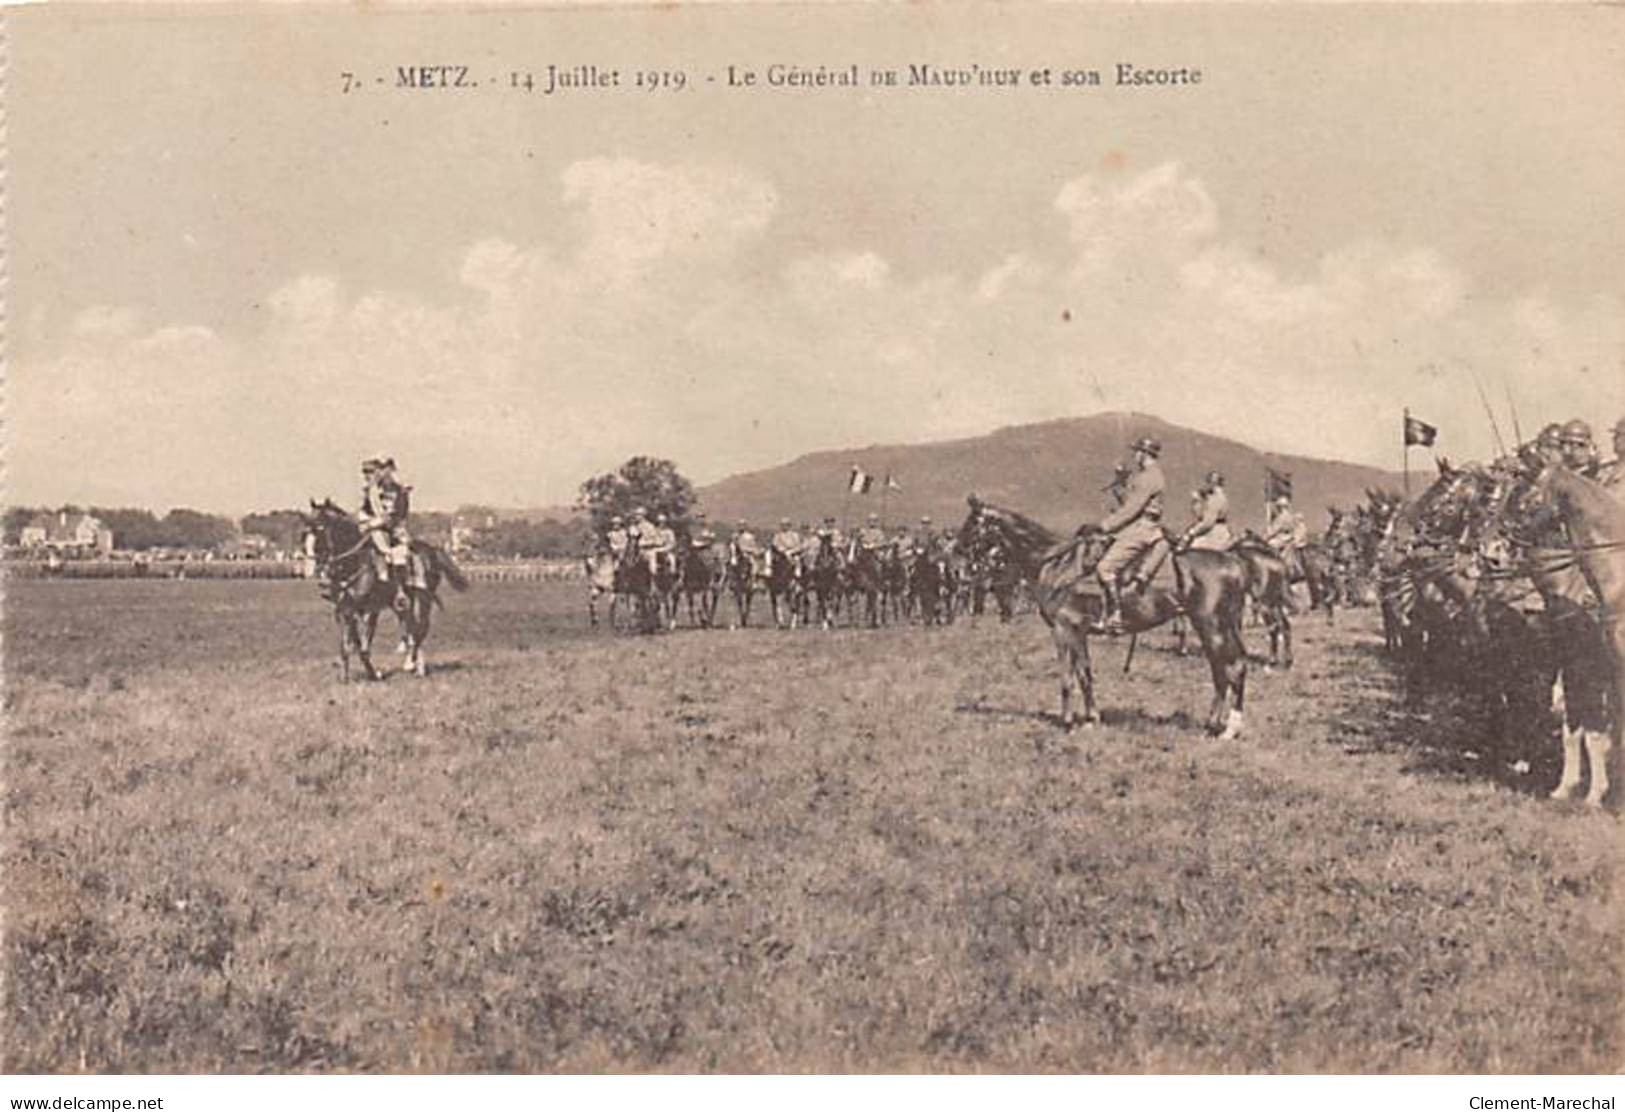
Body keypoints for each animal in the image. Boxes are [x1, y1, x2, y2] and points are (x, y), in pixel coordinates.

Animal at [302, 500, 468, 682]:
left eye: (320, 529)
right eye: (306, 531)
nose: (314, 568)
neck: (355, 563)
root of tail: (432, 549)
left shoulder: (369, 611)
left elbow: (364, 646)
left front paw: (373, 674)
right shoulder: (345, 611)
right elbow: (349, 645)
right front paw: (348, 676)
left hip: (424, 599)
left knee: (421, 628)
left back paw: (412, 665)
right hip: (403, 605)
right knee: (411, 628)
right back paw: (415, 664)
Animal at [955, 494, 1248, 738]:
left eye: (972, 523)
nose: (957, 552)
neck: (1056, 565)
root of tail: (1233, 563)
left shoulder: (1062, 630)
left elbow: (1067, 679)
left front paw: (1068, 723)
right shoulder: (1080, 633)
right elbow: (1085, 675)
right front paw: (1090, 718)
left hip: (1210, 627)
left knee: (1228, 670)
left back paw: (1225, 728)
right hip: (1222, 627)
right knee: (1229, 669)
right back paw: (1218, 724)